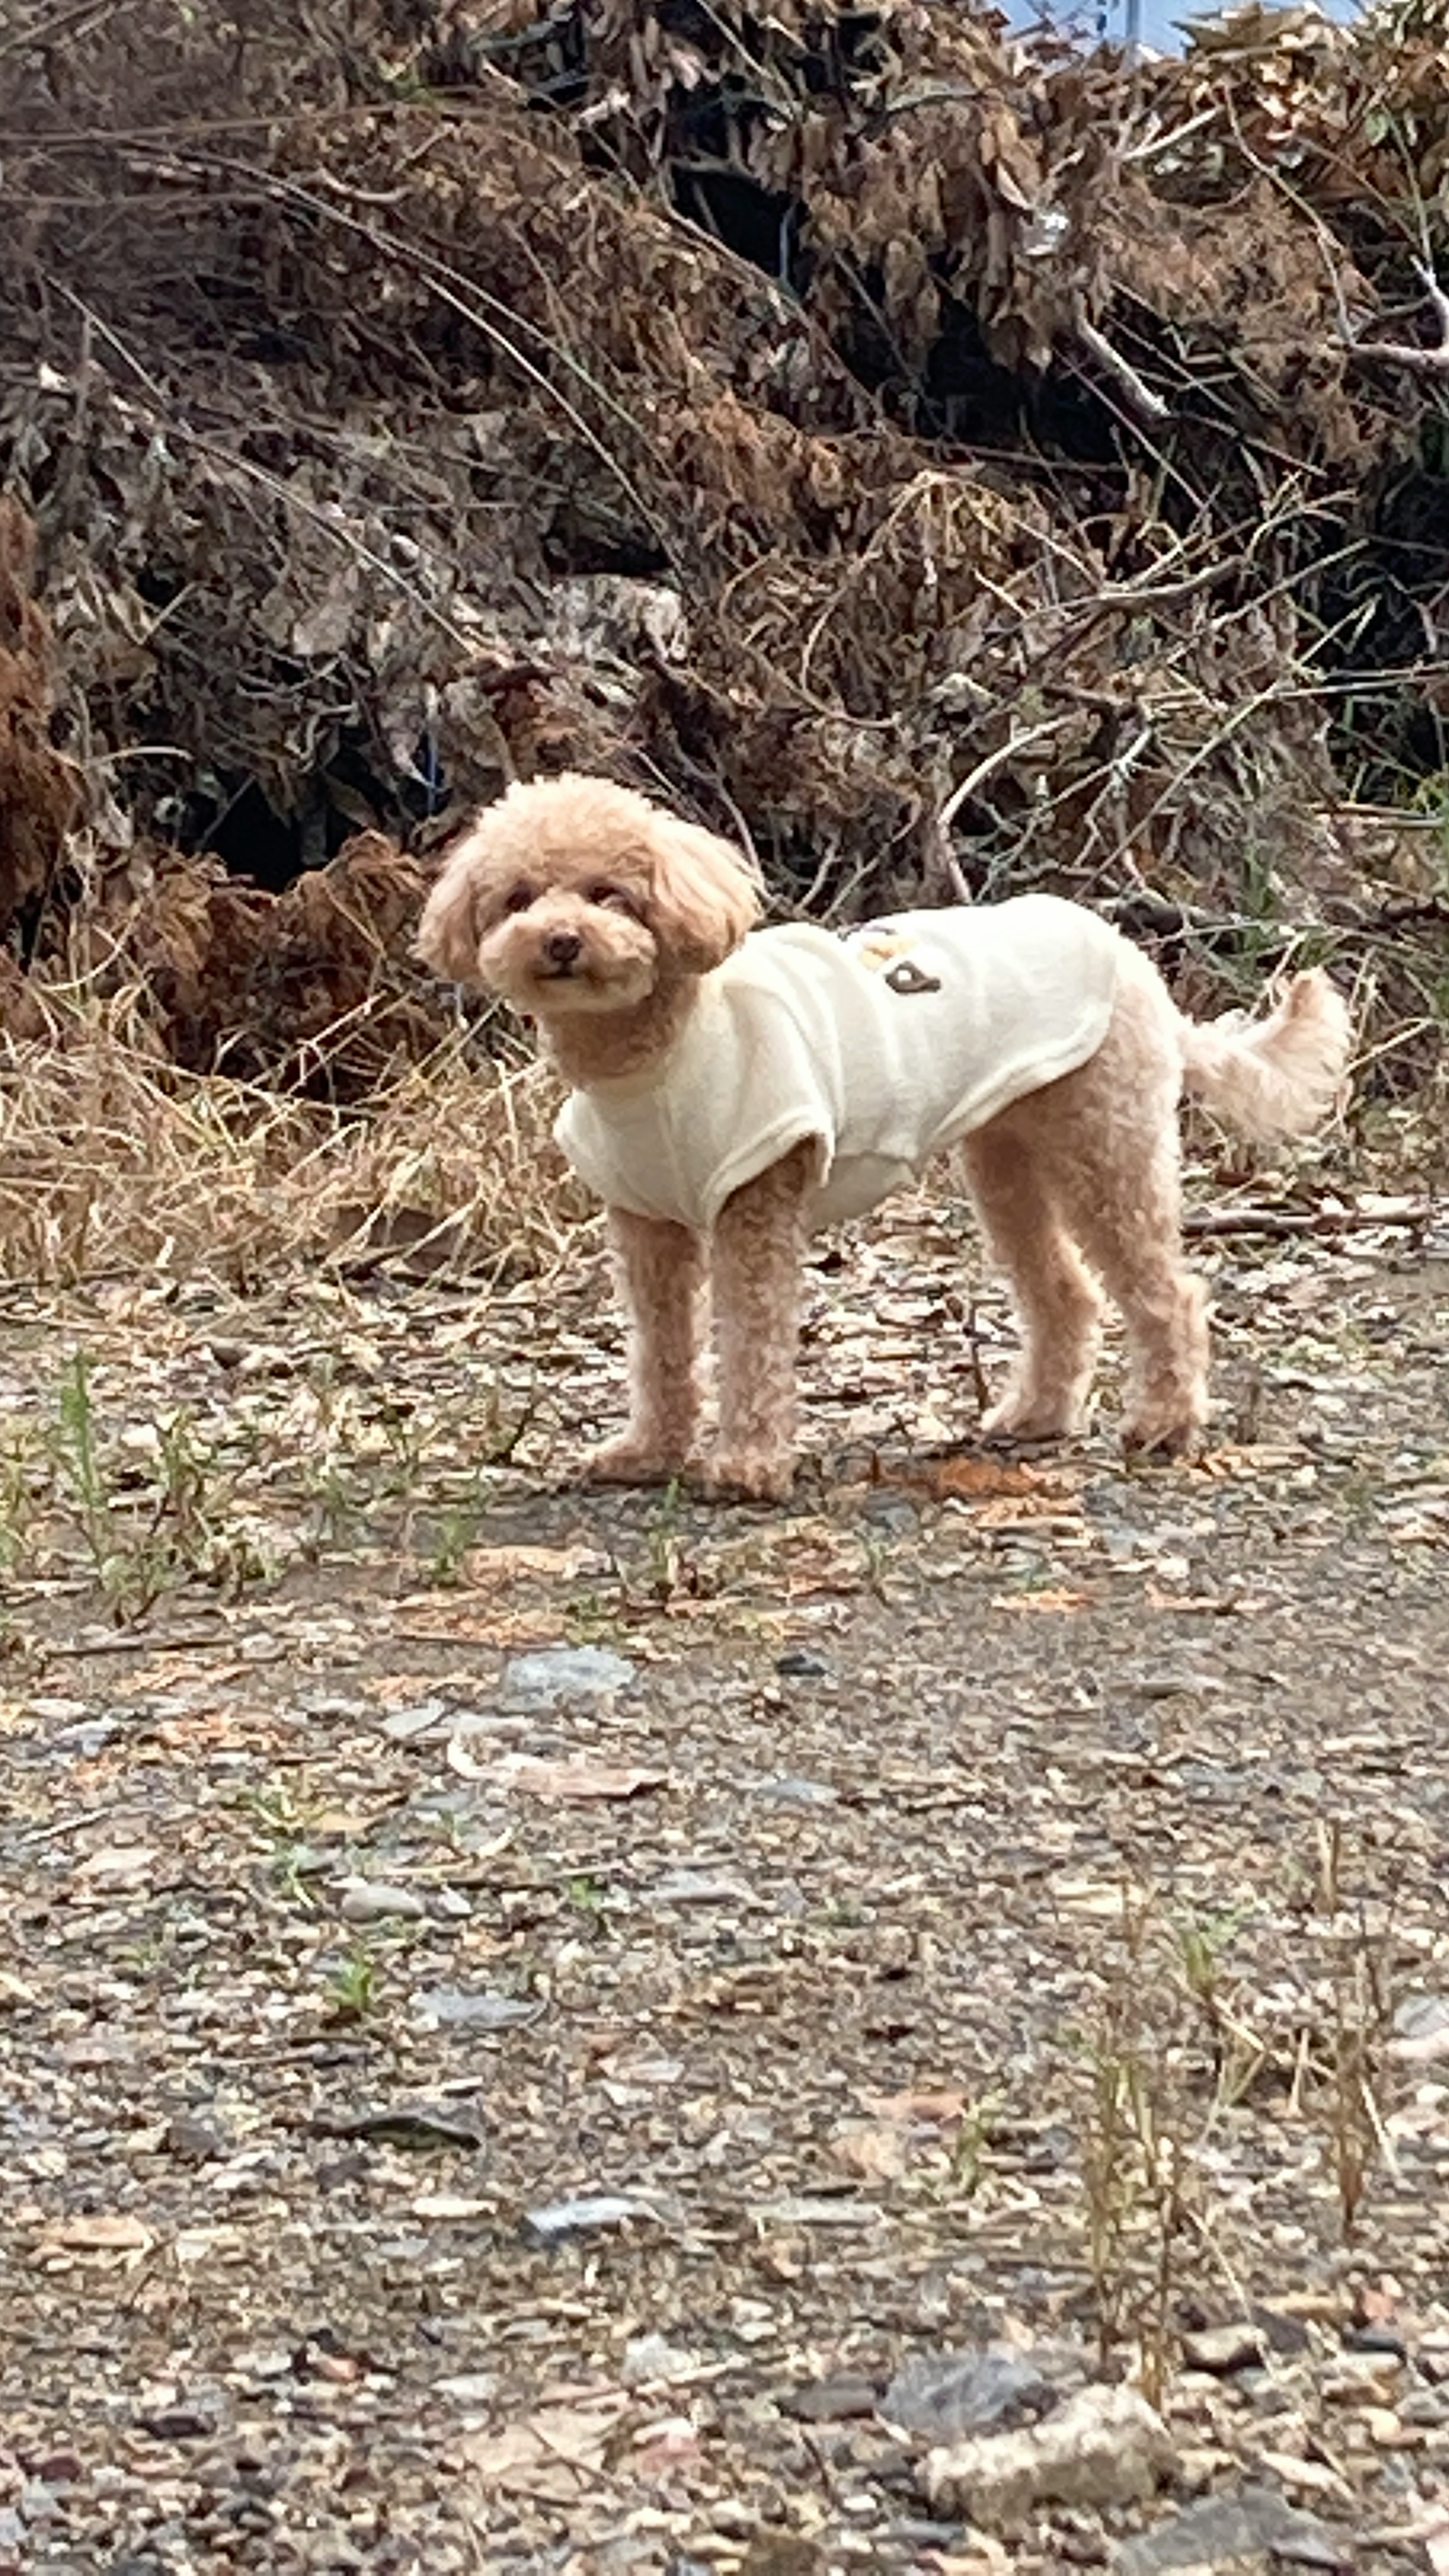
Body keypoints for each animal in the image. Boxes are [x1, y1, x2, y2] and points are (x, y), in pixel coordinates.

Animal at [415, 778, 1341, 1504]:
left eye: (610, 893)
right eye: (518, 898)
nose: (560, 940)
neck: (659, 1052)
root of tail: (1132, 958)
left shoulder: (755, 1205)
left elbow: (751, 1340)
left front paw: (747, 1467)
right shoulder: (648, 1226)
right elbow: (661, 1348)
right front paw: (648, 1453)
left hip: (1107, 1139)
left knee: (1165, 1290)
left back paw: (1164, 1424)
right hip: (1006, 1158)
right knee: (1065, 1292)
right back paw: (1037, 1417)